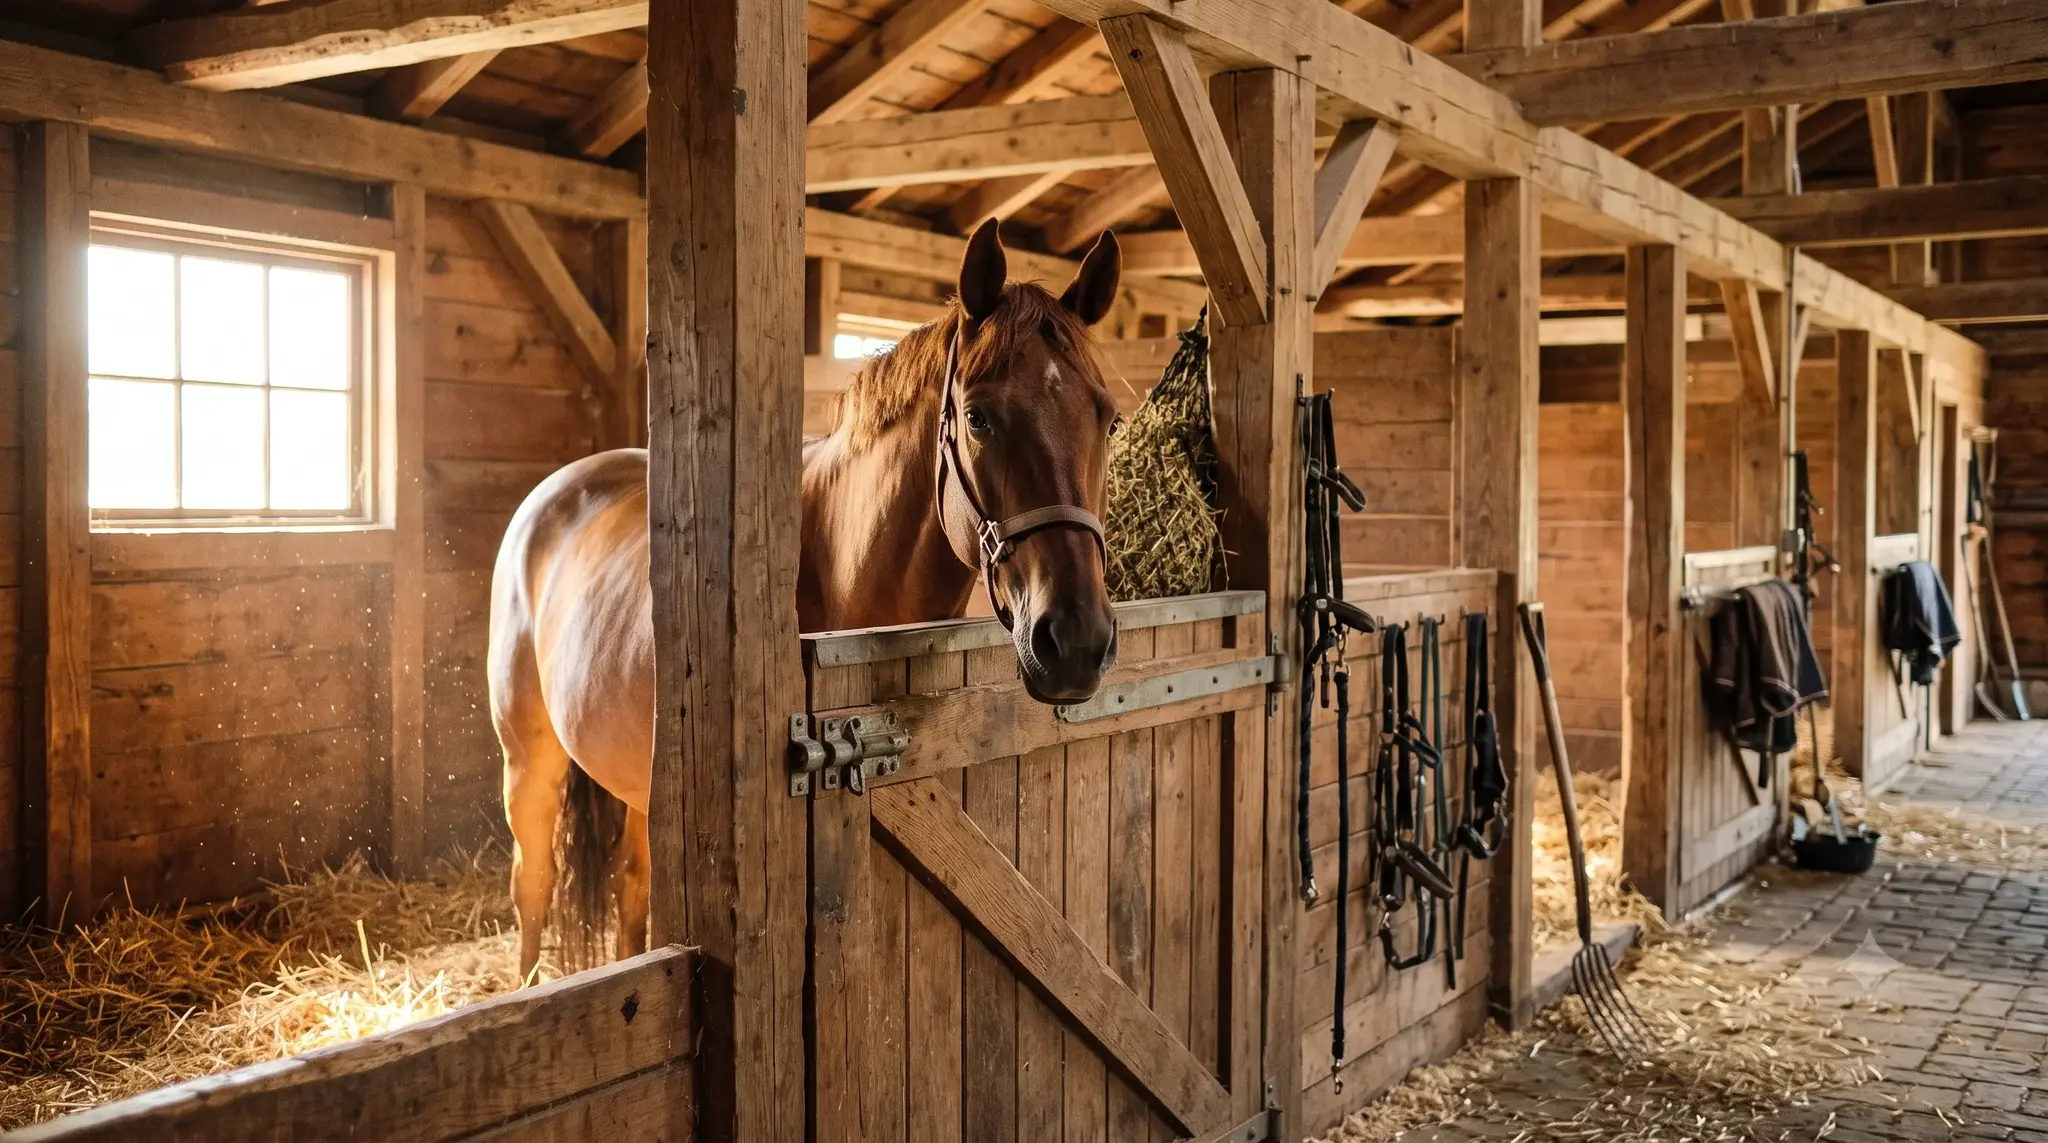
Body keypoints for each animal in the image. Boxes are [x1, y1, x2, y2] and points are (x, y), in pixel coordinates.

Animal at [487, 220, 1126, 977]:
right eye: (979, 418)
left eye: (1110, 420)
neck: (834, 566)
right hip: (529, 762)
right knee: (532, 884)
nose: (1078, 641)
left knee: (630, 887)